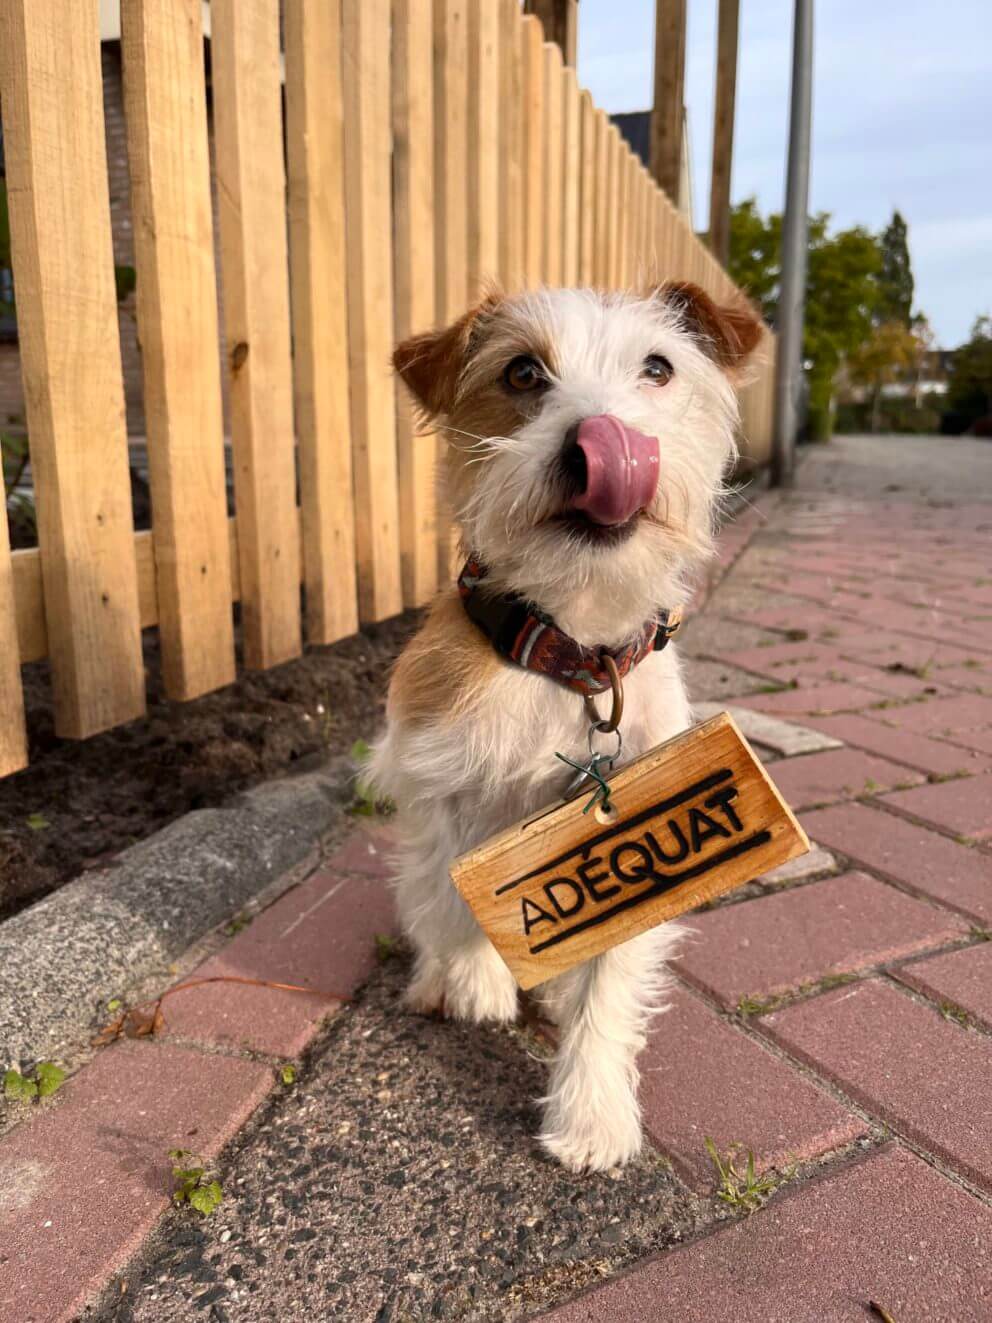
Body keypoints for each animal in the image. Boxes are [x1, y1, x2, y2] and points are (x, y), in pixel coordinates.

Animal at [370, 281, 761, 1169]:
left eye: (658, 367)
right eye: (522, 371)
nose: (602, 441)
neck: (572, 650)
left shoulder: (636, 838)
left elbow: (610, 976)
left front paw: (591, 1115)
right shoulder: (438, 779)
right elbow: (453, 892)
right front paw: (475, 981)